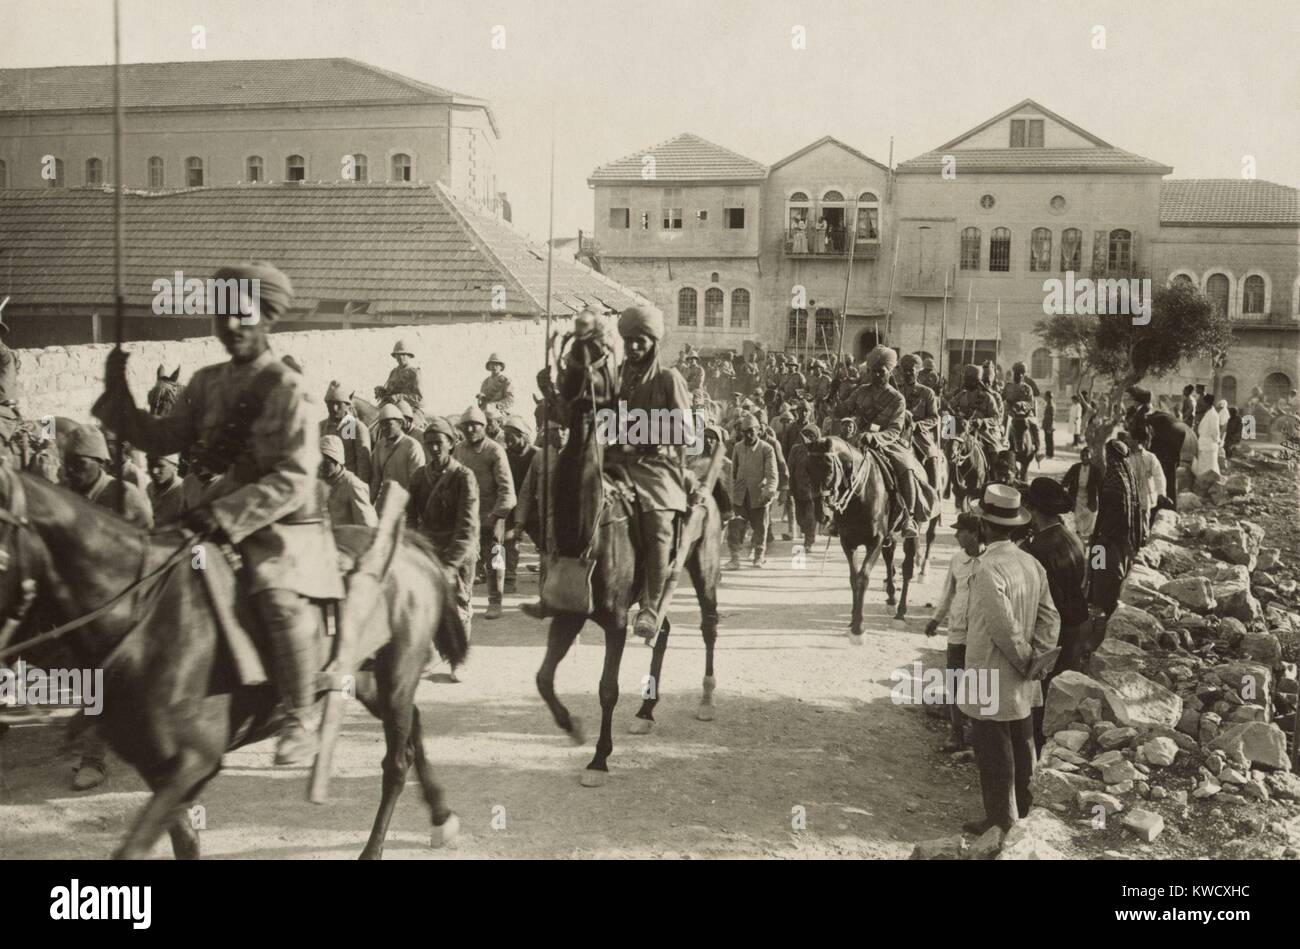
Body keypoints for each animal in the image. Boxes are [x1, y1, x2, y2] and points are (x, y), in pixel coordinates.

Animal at [0, 467, 470, 857]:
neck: (144, 616)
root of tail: (410, 547)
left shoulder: (192, 763)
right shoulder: (160, 770)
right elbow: (185, 842)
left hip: (395, 676)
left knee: (396, 763)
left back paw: (376, 847)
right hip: (369, 682)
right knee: (414, 725)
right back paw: (442, 816)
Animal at [533, 328, 728, 780]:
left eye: (599, 354)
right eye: (569, 353)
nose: (571, 383)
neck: (585, 529)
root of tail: (699, 479)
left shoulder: (616, 621)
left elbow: (607, 688)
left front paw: (599, 758)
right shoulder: (570, 613)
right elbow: (544, 678)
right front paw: (572, 727)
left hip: (702, 564)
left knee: (708, 624)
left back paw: (707, 699)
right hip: (653, 590)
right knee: (662, 628)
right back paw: (646, 710)